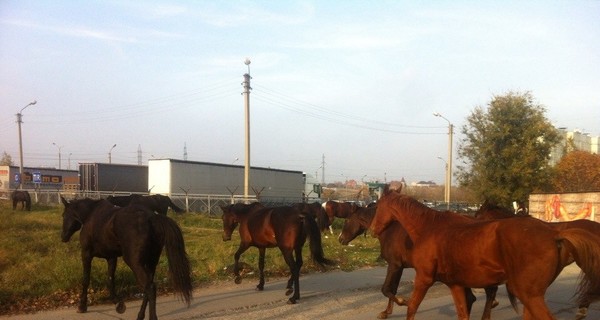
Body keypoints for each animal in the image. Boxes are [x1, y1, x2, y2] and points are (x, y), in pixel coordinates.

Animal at [61, 196, 192, 318]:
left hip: (134, 262)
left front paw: (82, 306)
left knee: (150, 288)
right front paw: (118, 304)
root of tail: (152, 218)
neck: (91, 215)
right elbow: (110, 279)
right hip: (151, 262)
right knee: (148, 287)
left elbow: (86, 280)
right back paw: (140, 315)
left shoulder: (86, 254)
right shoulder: (111, 257)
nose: (63, 237)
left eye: (64, 215)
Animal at [340, 205, 500, 320]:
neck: (389, 229)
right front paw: (386, 312)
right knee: (474, 297)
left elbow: (386, 289)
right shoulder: (399, 266)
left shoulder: (394, 265)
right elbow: (392, 289)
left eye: (346, 220)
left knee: (487, 291)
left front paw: (403, 301)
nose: (340, 239)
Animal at [372, 188, 600, 320]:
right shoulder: (455, 284)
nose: (374, 229)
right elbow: (463, 313)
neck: (429, 228)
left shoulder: (424, 279)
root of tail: (555, 233)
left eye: (378, 206)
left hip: (529, 294)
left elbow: (411, 308)